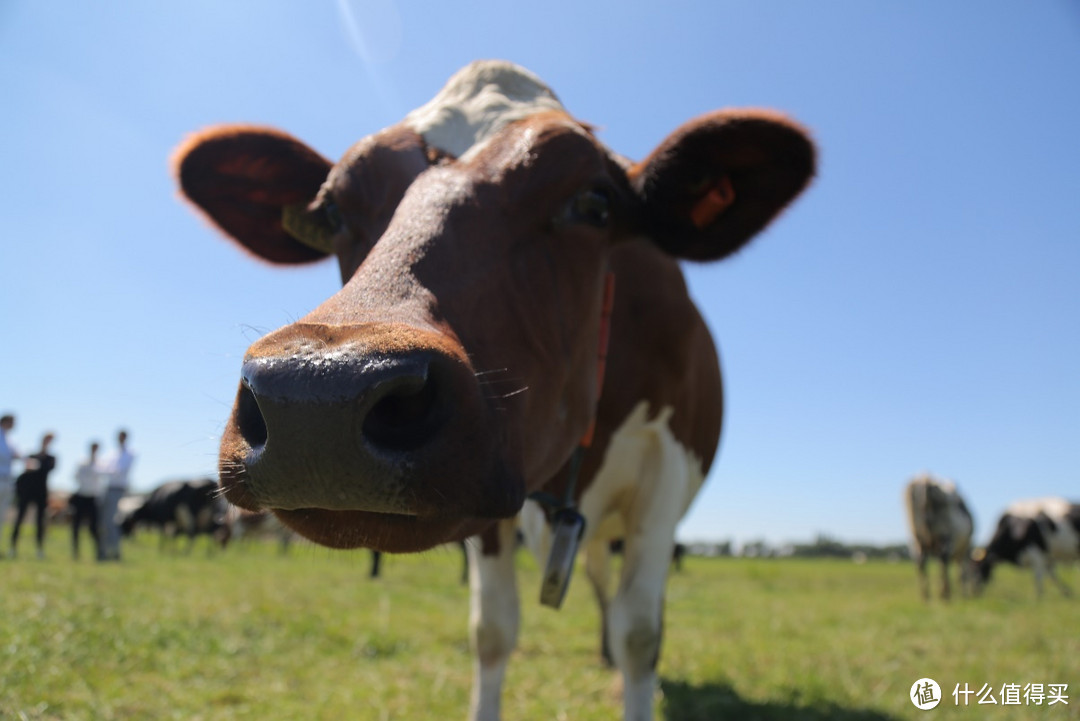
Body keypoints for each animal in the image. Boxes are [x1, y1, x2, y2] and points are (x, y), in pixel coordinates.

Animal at [177, 60, 812, 721]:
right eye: (331, 214)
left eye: (595, 202)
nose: (317, 399)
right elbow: (492, 631)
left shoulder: (663, 481)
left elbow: (641, 635)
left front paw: (630, 671)